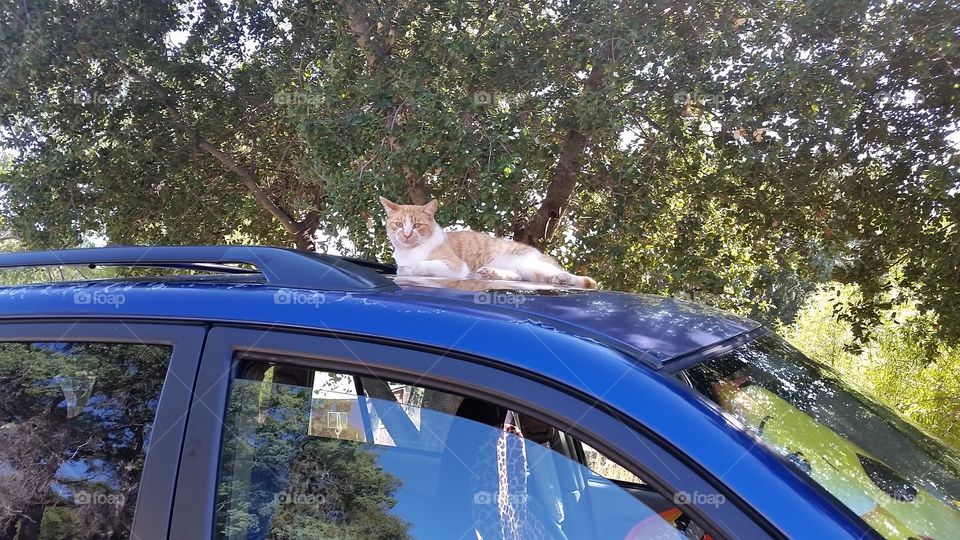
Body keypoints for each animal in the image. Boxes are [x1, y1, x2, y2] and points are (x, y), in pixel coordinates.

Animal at [378, 196, 596, 288]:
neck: (409, 251)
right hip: (524, 269)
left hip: (528, 262)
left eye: (416, 226)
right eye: (399, 224)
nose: (406, 235)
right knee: (518, 276)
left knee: (581, 280)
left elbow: (419, 266)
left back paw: (563, 279)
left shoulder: (455, 266)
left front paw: (409, 269)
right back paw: (489, 273)